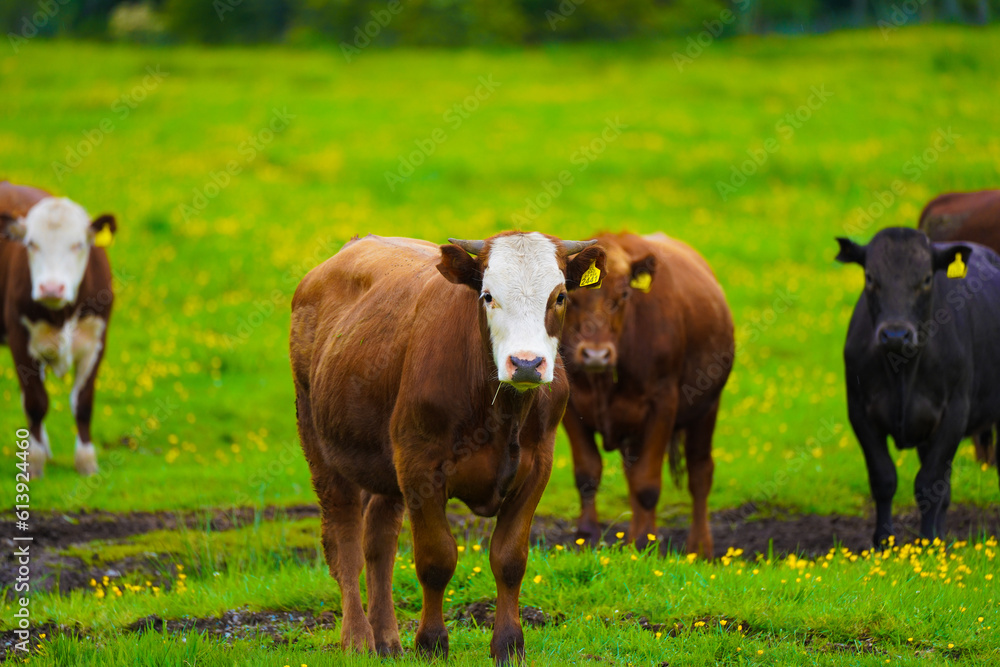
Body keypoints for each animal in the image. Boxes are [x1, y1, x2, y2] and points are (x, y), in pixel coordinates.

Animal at [1, 181, 116, 478]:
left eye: (78, 244)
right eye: (31, 243)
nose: (51, 287)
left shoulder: (96, 342)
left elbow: (83, 403)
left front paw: (86, 461)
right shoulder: (20, 340)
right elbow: (36, 402)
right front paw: (34, 461)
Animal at [289, 232, 606, 663]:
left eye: (559, 297)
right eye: (487, 295)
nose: (526, 363)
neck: (500, 410)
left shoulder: (536, 468)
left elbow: (509, 559)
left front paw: (509, 645)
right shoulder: (419, 466)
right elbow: (436, 559)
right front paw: (431, 643)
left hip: (385, 465)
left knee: (379, 543)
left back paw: (387, 639)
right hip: (320, 445)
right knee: (345, 544)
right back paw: (357, 640)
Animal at [559, 232, 734, 558]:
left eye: (624, 295)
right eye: (571, 297)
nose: (595, 354)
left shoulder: (662, 404)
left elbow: (647, 483)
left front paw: (646, 542)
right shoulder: (572, 408)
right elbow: (588, 473)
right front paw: (587, 536)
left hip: (707, 409)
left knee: (700, 473)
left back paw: (699, 547)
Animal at [836, 227, 1000, 546]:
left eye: (925, 279)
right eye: (870, 278)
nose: (895, 334)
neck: (902, 370)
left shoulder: (954, 413)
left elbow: (928, 482)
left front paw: (927, 543)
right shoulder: (859, 412)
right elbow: (884, 478)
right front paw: (884, 542)